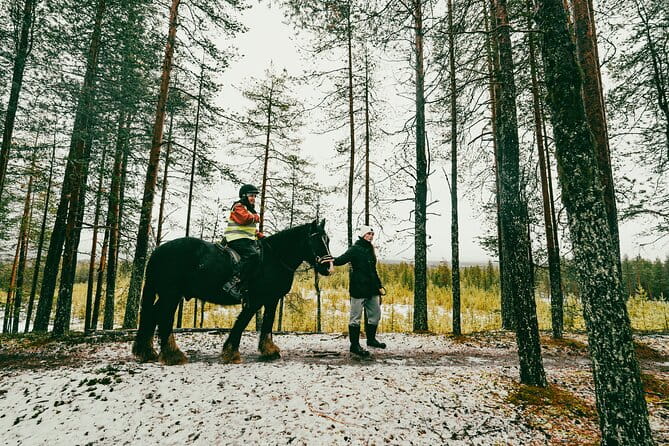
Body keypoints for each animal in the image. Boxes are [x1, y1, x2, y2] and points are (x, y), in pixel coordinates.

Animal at [131, 219, 334, 365]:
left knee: (152, 314)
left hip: (167, 294)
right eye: (315, 239)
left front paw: (269, 350)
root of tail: (158, 251)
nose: (329, 267)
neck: (274, 258)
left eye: (327, 240)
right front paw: (231, 353)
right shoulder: (255, 299)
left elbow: (267, 323)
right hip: (171, 294)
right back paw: (173, 355)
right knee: (164, 317)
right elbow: (242, 323)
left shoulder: (272, 299)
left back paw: (147, 352)